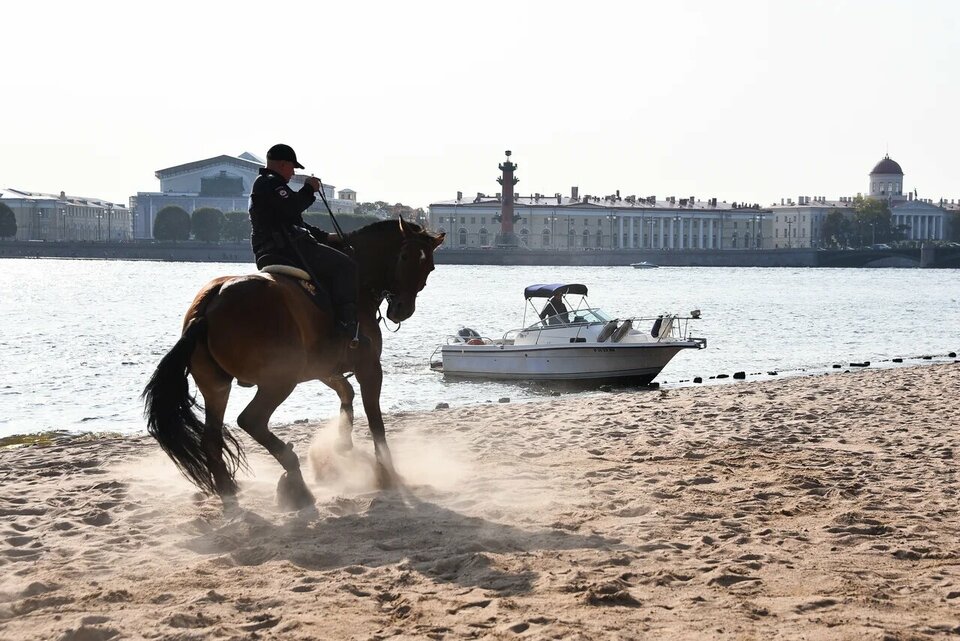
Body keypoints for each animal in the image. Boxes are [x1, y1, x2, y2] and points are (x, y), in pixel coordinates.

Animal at [142, 218, 446, 508]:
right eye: (404, 257)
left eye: (430, 266)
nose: (402, 309)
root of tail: (212, 301)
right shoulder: (369, 368)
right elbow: (376, 423)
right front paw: (386, 474)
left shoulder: (324, 368)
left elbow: (346, 394)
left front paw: (342, 443)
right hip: (279, 381)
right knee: (251, 420)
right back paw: (295, 480)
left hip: (217, 386)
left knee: (212, 439)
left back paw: (231, 489)